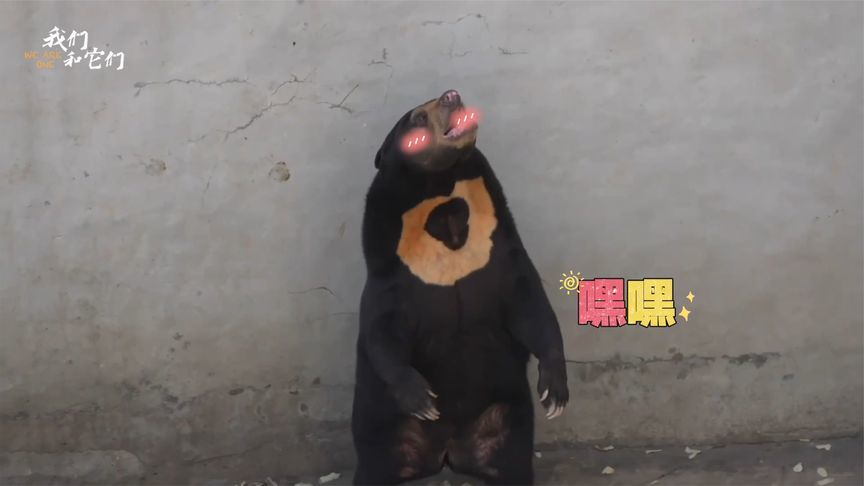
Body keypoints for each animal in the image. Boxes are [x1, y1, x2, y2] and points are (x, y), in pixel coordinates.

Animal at [351, 89, 569, 485]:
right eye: (418, 117)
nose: (452, 95)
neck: (442, 197)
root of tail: (446, 451)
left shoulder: (500, 251)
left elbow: (530, 306)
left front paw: (554, 392)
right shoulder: (391, 268)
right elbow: (382, 328)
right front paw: (422, 398)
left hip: (505, 417)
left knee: (512, 463)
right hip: (383, 430)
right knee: (376, 467)